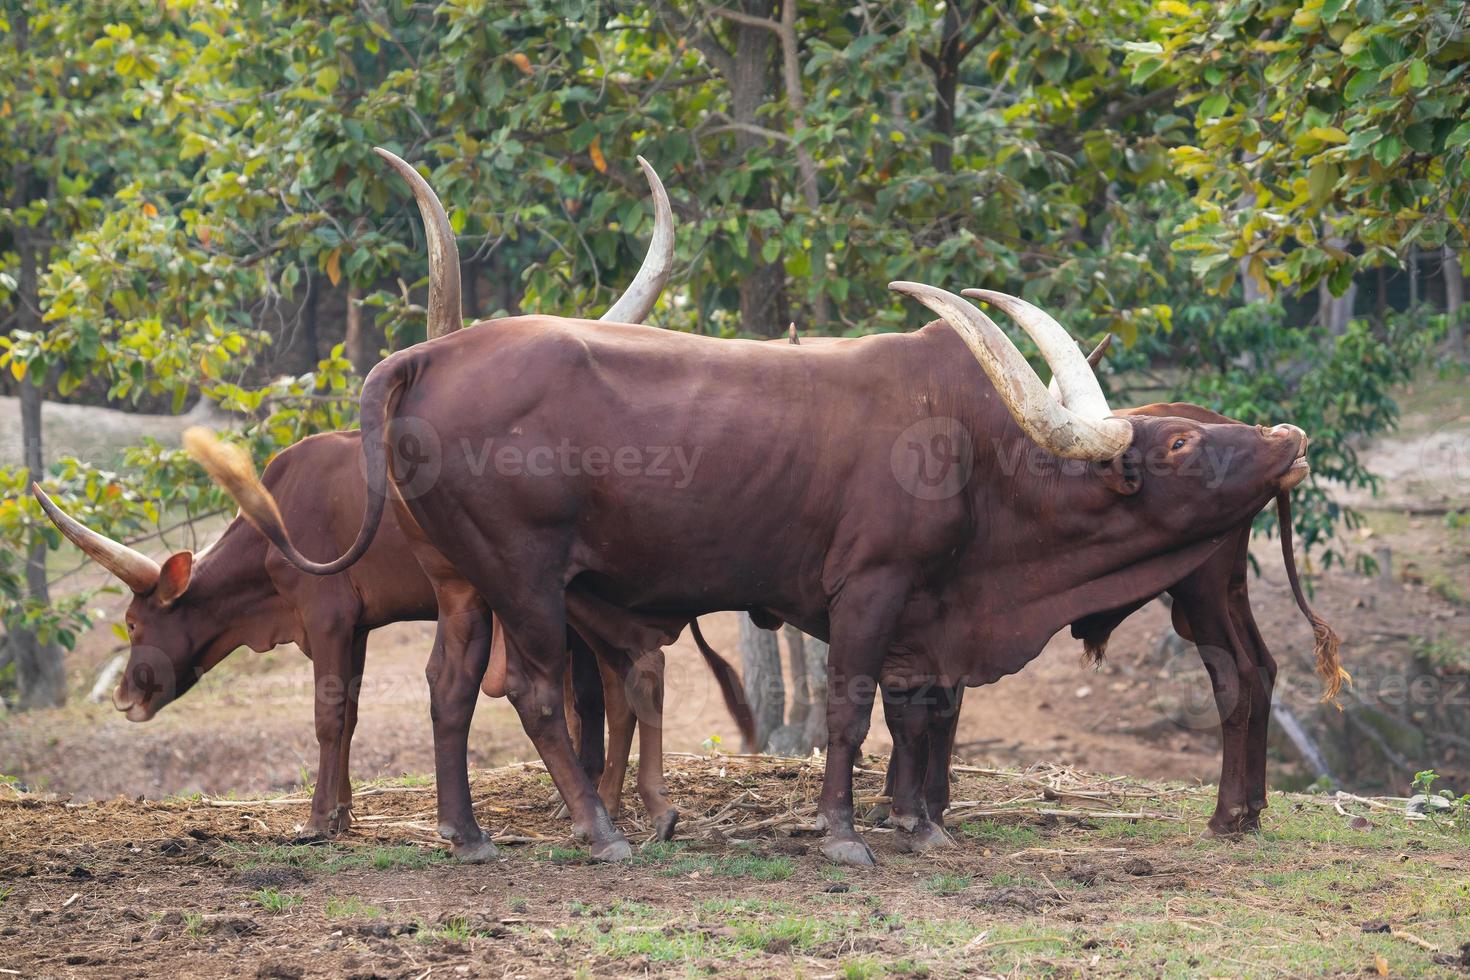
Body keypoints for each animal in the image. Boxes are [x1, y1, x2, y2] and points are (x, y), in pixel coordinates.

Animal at [186, 227, 1323, 863]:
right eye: (1180, 441)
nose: (1287, 437)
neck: (976, 448)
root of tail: (432, 353)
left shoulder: (928, 611)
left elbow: (925, 712)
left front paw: (924, 823)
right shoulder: (871, 588)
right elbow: (853, 708)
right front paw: (847, 832)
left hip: (464, 581)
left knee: (449, 690)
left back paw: (468, 837)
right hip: (526, 575)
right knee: (540, 693)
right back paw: (601, 831)